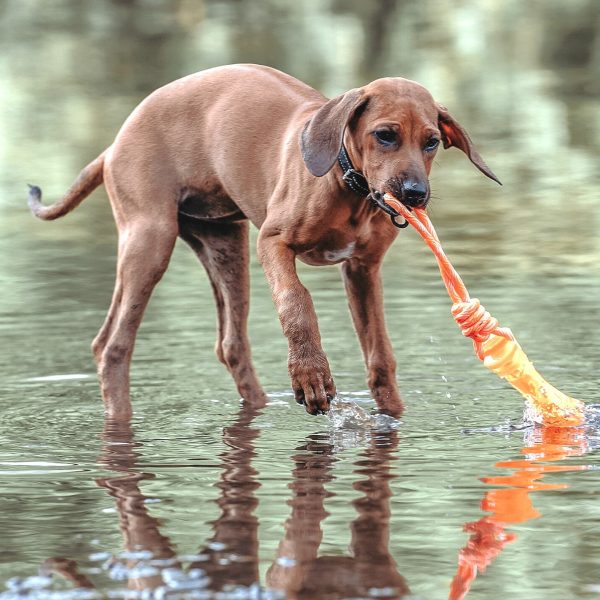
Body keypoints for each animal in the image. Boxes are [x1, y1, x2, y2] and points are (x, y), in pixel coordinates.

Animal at [27, 64, 496, 418]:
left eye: (431, 142)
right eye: (385, 135)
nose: (415, 194)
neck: (348, 185)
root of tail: (113, 145)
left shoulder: (362, 270)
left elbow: (379, 354)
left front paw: (391, 414)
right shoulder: (273, 243)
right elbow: (296, 302)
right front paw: (311, 376)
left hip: (224, 244)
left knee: (231, 345)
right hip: (150, 240)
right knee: (113, 346)